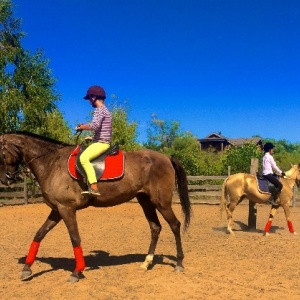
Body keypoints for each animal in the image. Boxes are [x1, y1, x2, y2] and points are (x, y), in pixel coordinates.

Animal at [0, 131, 191, 282]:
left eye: (1, 153)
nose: (5, 179)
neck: (52, 162)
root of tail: (166, 158)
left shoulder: (66, 209)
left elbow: (75, 238)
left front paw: (77, 272)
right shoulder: (57, 210)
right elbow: (39, 234)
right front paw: (26, 269)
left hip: (162, 203)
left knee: (175, 225)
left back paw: (179, 263)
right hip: (145, 201)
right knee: (155, 227)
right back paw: (146, 263)